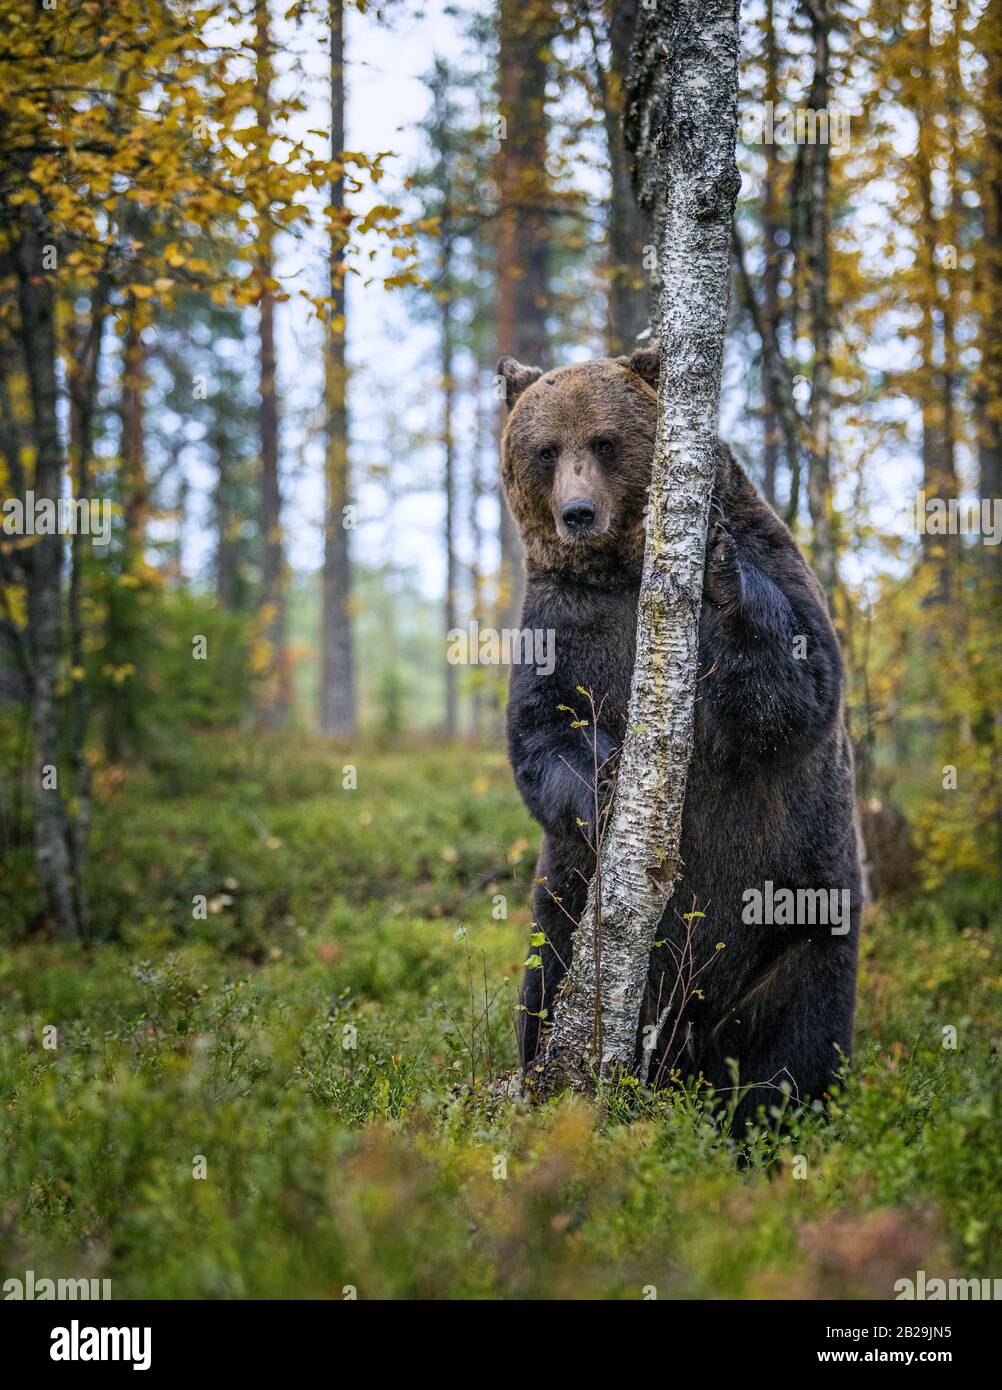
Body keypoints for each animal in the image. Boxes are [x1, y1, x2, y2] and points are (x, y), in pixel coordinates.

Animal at [500, 344, 861, 1128]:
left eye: (604, 442)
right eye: (546, 450)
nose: (578, 513)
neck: (625, 571)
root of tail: (685, 1038)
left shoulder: (776, 554)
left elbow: (801, 687)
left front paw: (723, 571)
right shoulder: (560, 620)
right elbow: (541, 735)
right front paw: (606, 784)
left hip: (802, 914)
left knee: (800, 1033)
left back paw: (777, 1119)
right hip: (566, 907)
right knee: (545, 987)